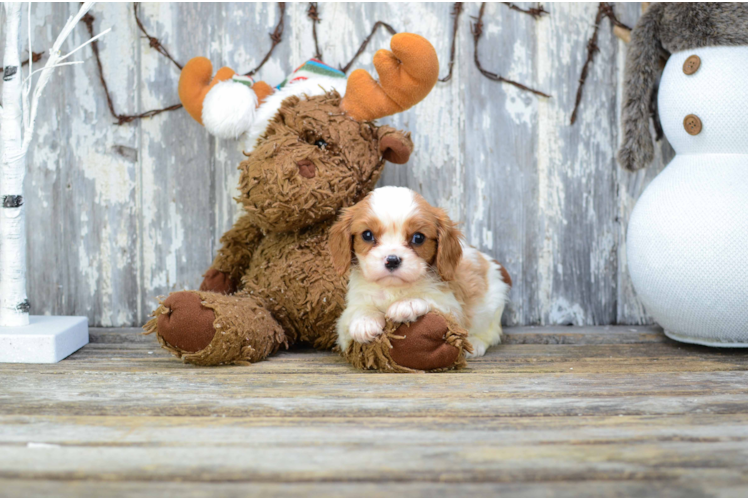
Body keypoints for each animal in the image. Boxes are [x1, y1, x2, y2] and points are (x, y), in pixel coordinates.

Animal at [330, 187, 512, 356]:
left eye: (418, 238)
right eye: (367, 235)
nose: (392, 259)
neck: (393, 289)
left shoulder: (451, 307)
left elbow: (429, 298)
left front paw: (407, 303)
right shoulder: (348, 315)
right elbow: (357, 310)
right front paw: (364, 321)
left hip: (490, 309)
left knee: (492, 332)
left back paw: (475, 343)